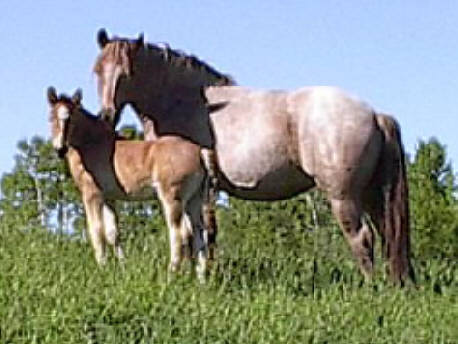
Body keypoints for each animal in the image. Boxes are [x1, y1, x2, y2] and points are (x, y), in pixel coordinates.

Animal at [47, 87, 211, 278]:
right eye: (51, 117)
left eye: (70, 118)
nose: (60, 149)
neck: (91, 143)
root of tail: (199, 152)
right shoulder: (108, 198)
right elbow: (113, 233)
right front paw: (122, 269)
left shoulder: (91, 194)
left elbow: (96, 231)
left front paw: (102, 269)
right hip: (194, 199)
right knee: (199, 235)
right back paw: (201, 280)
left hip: (172, 198)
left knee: (179, 233)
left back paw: (169, 276)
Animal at [93, 28, 416, 282]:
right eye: (97, 70)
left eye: (128, 72)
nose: (107, 115)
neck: (188, 103)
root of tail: (374, 114)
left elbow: (197, 233)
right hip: (372, 195)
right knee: (388, 236)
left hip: (343, 197)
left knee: (362, 238)